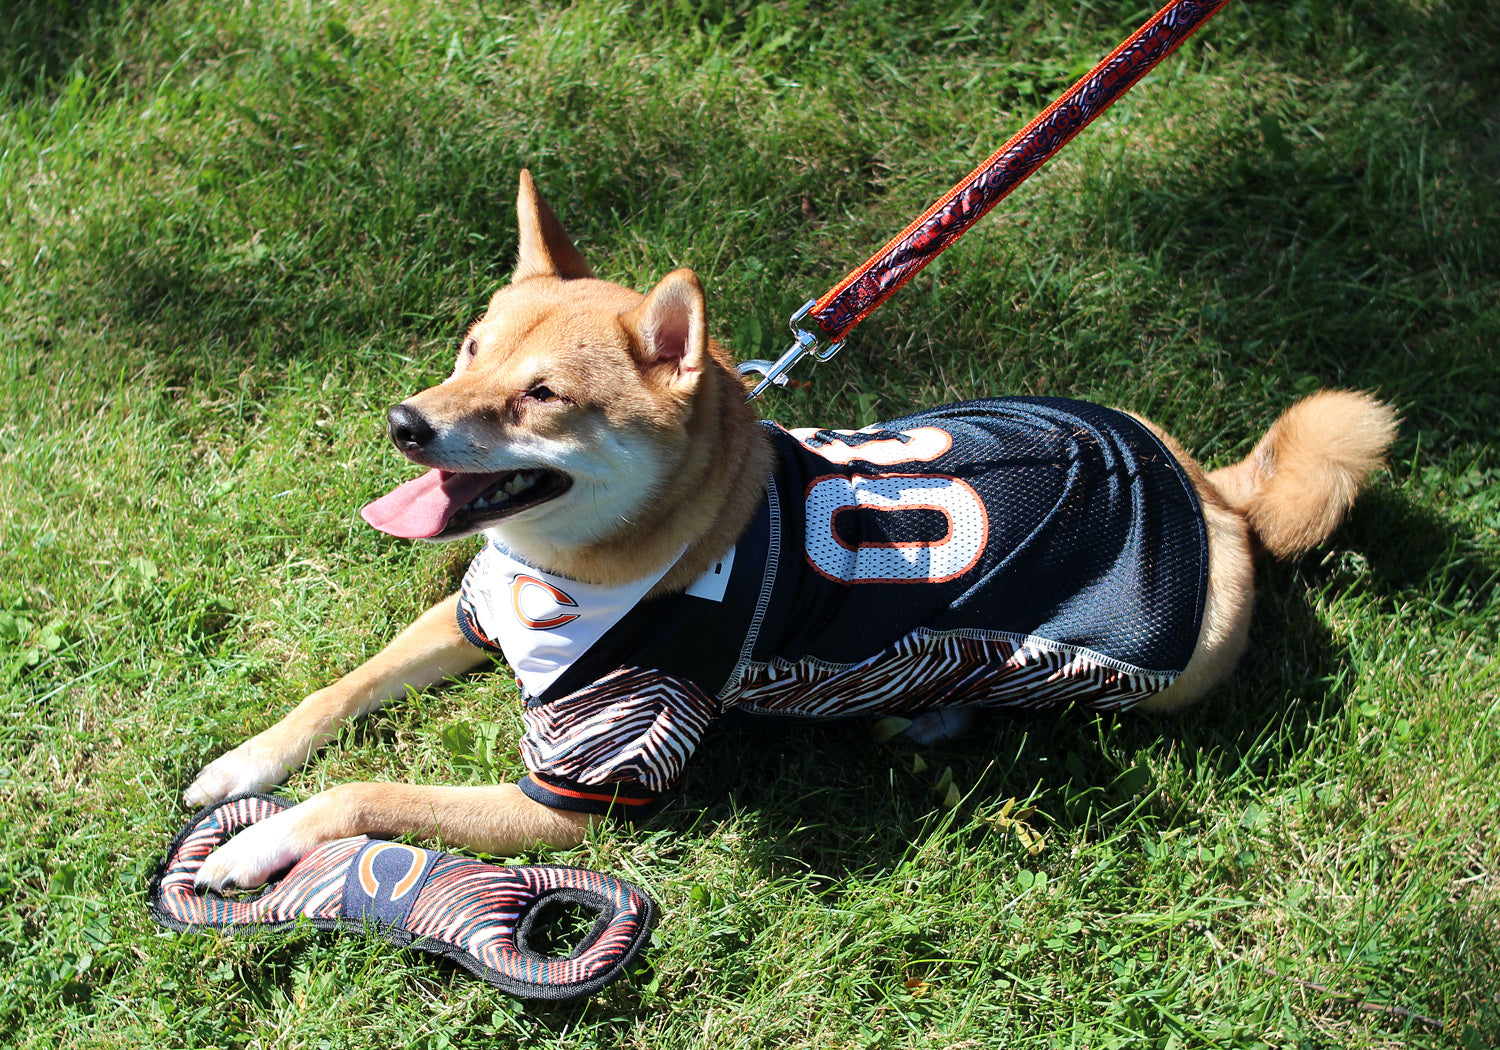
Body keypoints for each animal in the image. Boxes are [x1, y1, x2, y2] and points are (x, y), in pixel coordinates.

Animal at [184, 172, 1392, 894]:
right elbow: (335, 692)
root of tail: (1211, 495)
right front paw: (242, 765)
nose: (404, 422)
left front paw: (262, 842)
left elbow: (368, 795)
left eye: (541, 398)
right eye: (470, 347)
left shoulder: (585, 793)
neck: (572, 576)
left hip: (1149, 672)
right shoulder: (471, 612)